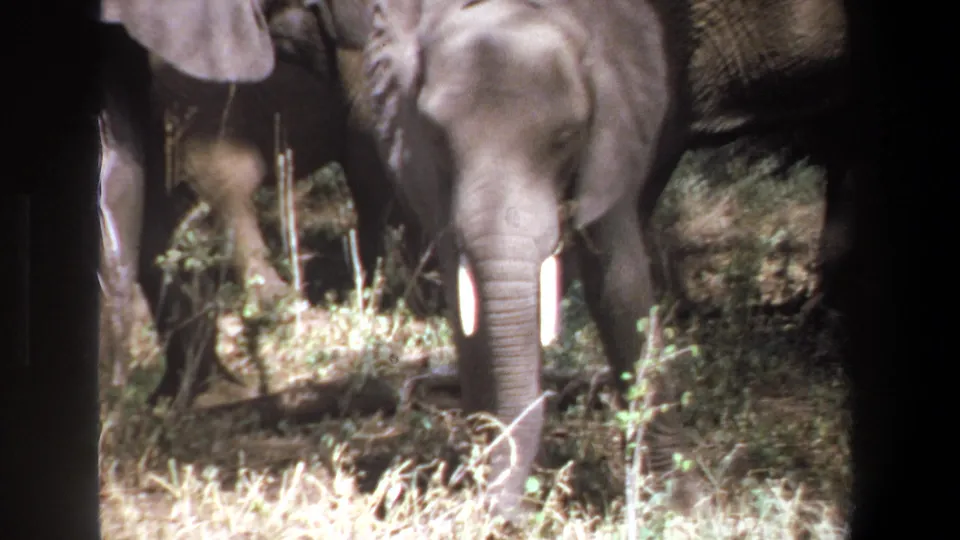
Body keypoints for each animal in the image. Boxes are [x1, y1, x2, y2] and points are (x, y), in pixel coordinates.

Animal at [362, 0, 856, 519]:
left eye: (567, 136)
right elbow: (467, 298)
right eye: (436, 136)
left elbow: (618, 284)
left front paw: (681, 507)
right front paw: (481, 490)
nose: (511, 513)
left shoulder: (619, 117)